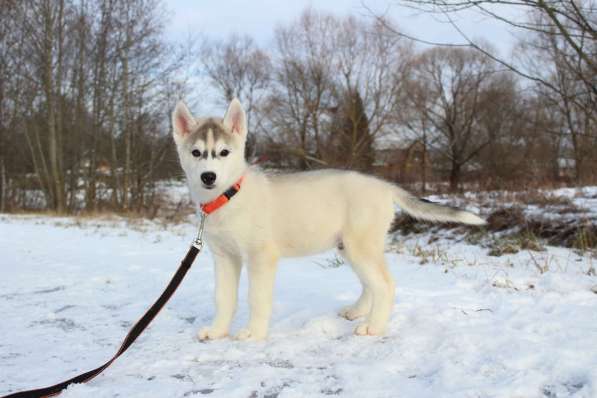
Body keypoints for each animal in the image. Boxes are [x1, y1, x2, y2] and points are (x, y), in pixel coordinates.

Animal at [171, 98, 484, 340]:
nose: (208, 177)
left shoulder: (261, 256)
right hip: (349, 247)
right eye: (196, 153)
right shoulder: (225, 257)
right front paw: (217, 331)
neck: (229, 196)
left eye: (224, 152)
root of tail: (384, 185)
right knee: (371, 282)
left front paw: (254, 334)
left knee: (385, 284)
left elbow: (257, 298)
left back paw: (373, 326)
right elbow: (223, 298)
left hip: (359, 246)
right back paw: (358, 312)